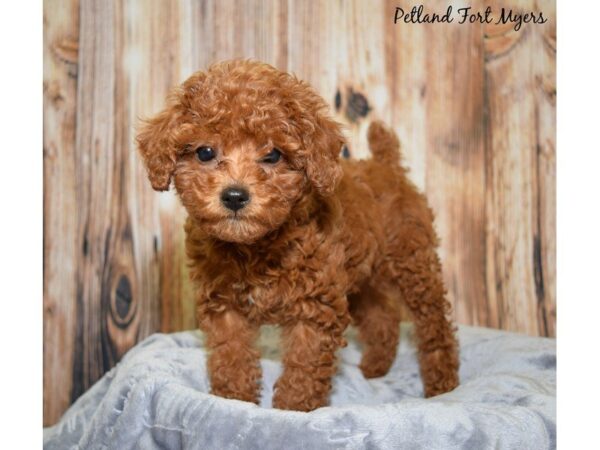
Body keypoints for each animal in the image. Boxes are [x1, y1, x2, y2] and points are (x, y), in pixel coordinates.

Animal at [137, 59, 460, 412]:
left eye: (273, 155)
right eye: (205, 152)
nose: (235, 196)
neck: (257, 247)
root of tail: (387, 166)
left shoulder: (315, 307)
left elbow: (304, 368)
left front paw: (292, 410)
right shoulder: (225, 308)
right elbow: (231, 358)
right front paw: (233, 402)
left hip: (413, 266)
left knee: (434, 326)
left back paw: (443, 383)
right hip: (362, 275)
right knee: (381, 316)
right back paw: (375, 367)